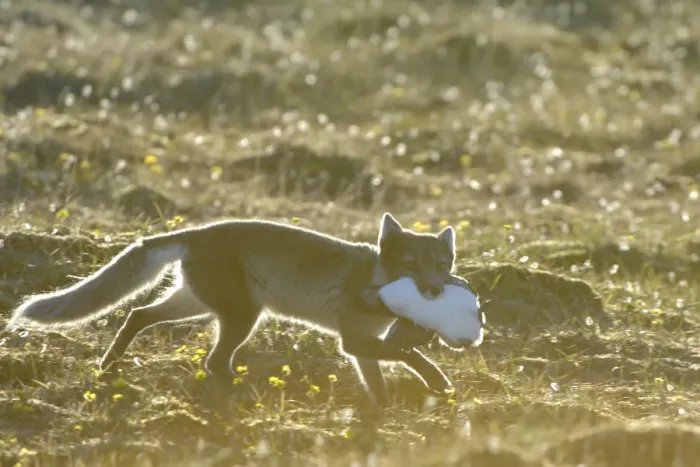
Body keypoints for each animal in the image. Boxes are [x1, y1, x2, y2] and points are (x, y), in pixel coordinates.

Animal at [7, 212, 470, 407]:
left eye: (441, 265)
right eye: (410, 266)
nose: (433, 290)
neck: (375, 279)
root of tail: (199, 232)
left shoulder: (361, 347)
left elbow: (381, 382)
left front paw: (384, 414)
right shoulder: (353, 341)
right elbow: (407, 353)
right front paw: (437, 380)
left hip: (195, 304)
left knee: (137, 316)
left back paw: (109, 365)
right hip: (242, 318)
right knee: (212, 361)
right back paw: (242, 390)